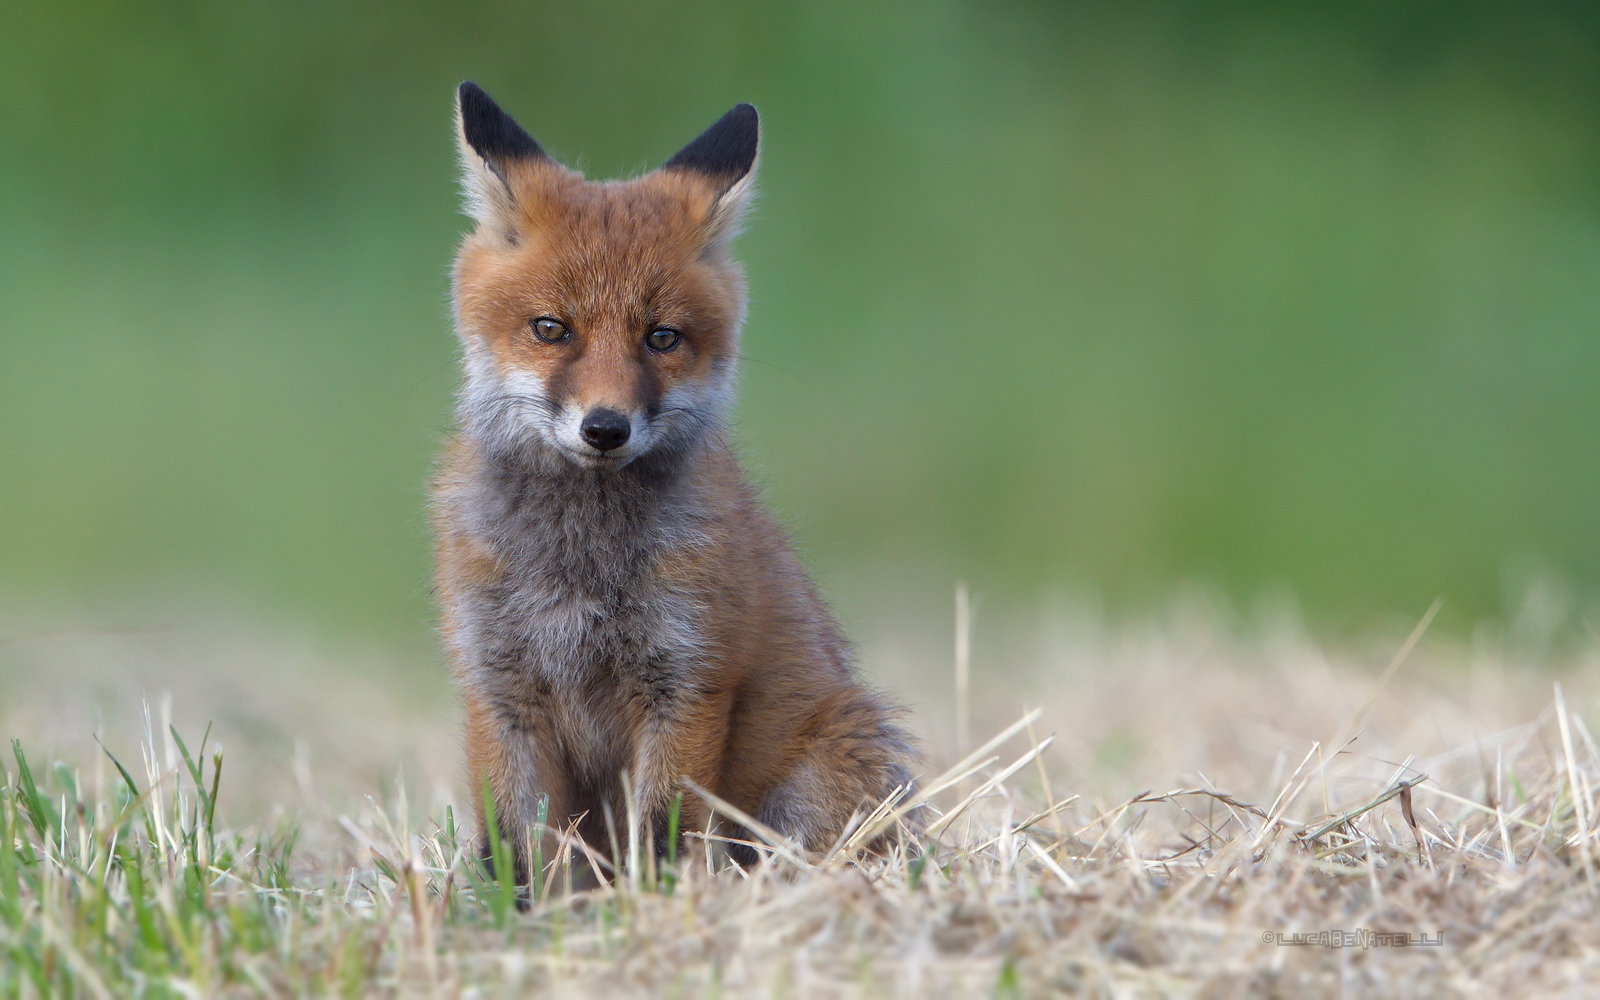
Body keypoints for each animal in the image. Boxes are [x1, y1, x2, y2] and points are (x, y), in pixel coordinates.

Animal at [432, 82, 918, 881]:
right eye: (550, 329)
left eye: (661, 337)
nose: (605, 428)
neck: (579, 565)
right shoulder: (497, 686)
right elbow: (517, 849)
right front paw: (524, 911)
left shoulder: (688, 682)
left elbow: (661, 833)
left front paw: (656, 902)